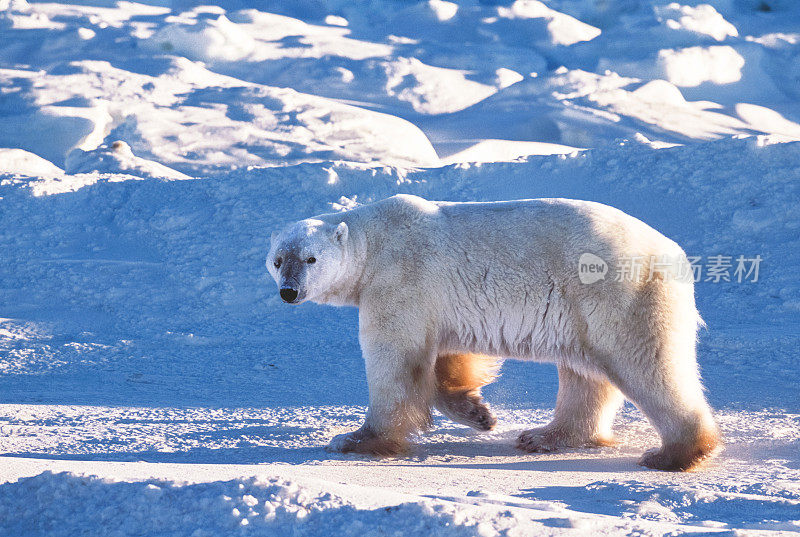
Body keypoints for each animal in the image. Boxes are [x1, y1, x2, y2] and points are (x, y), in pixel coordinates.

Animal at [268, 194, 720, 468]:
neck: (375, 241)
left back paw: (674, 453)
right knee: (585, 373)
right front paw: (479, 413)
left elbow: (395, 361)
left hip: (615, 292)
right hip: (583, 311)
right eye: (277, 260)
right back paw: (545, 436)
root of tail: (673, 254)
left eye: (310, 259)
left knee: (645, 363)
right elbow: (445, 356)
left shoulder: (399, 282)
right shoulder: (435, 303)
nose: (289, 291)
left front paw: (356, 440)